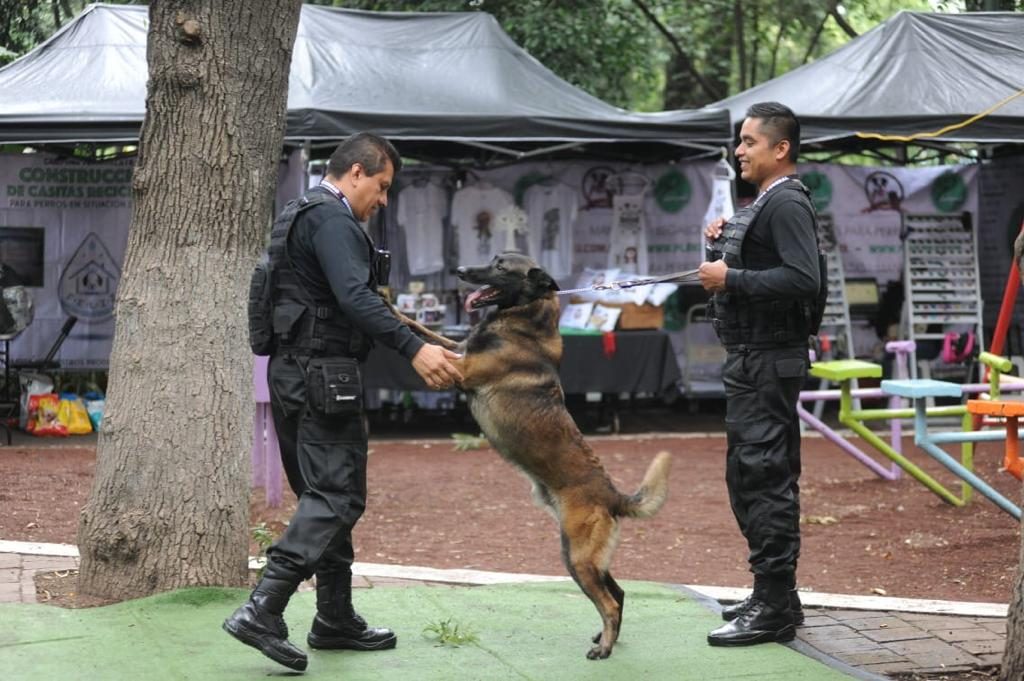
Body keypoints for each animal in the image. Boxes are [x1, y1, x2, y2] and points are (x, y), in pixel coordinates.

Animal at [397, 250, 671, 659]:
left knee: (608, 602)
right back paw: (605, 638)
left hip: (578, 558)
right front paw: (392, 307)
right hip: (584, 556)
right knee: (619, 593)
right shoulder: (456, 351)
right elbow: (423, 330)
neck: (525, 318)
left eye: (499, 266)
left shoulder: (459, 369)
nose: (459, 270)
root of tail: (612, 495)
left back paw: (603, 649)